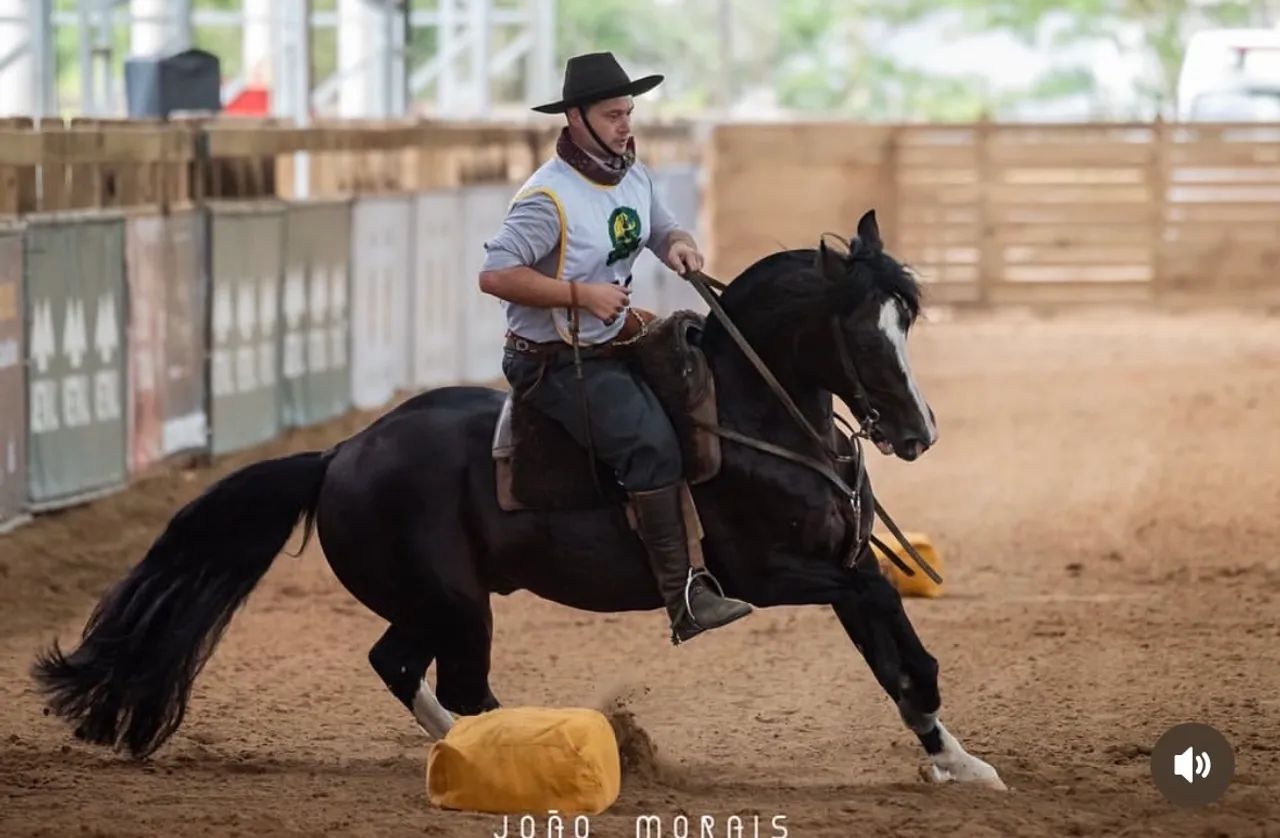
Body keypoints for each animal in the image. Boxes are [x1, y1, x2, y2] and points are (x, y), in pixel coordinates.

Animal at [32, 209, 1005, 790]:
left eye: (908, 323)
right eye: (863, 333)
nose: (917, 432)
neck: (750, 415)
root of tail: (342, 453)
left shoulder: (839, 564)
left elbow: (898, 661)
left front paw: (959, 763)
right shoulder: (774, 575)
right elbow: (895, 635)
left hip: (440, 602)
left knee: (405, 668)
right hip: (453, 600)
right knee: (448, 678)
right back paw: (530, 755)